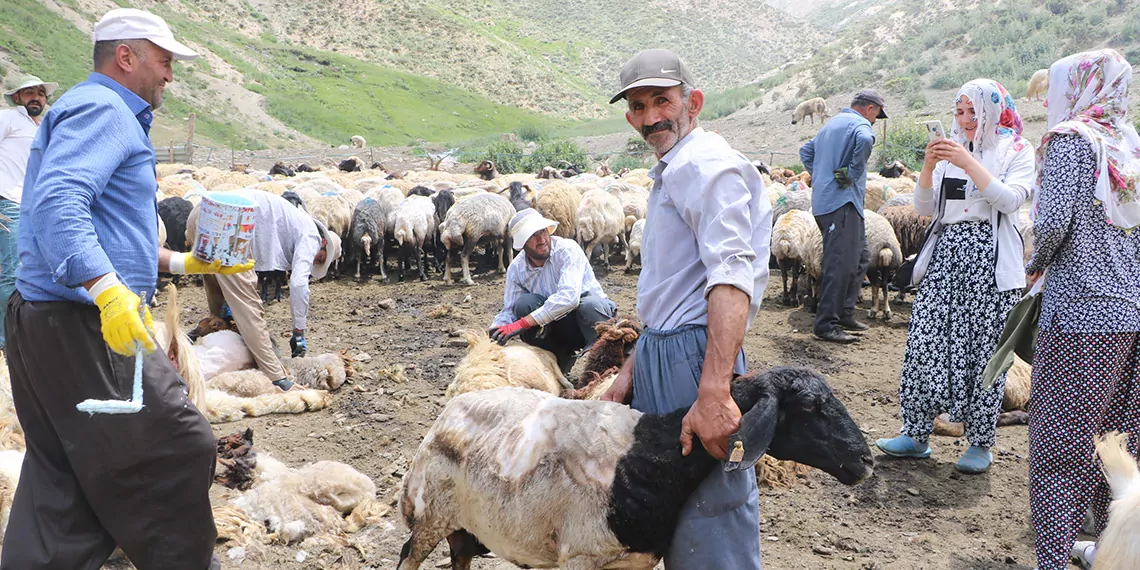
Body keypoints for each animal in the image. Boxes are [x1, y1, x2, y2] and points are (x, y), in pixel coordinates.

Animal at [399, 364, 870, 570]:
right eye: (809, 406)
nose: (864, 460)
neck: (651, 455)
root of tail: (446, 414)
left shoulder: (635, 562)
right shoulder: (579, 558)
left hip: (466, 525)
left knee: (460, 555)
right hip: (430, 514)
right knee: (409, 556)